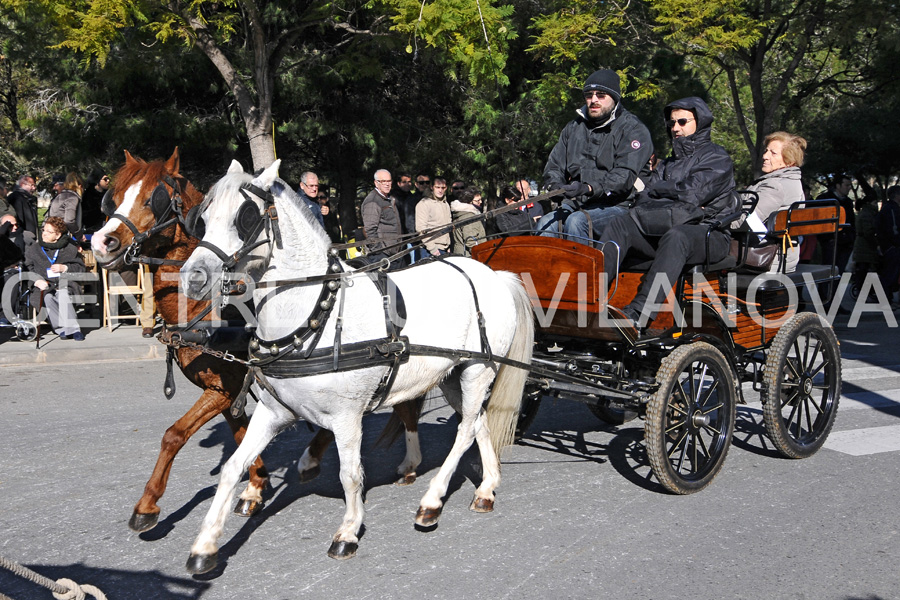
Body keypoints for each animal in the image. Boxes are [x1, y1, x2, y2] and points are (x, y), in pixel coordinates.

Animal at [93, 149, 424, 528]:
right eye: (113, 198)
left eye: (153, 198)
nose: (101, 243)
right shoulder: (230, 389)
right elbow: (240, 435)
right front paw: (255, 486)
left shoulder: (224, 388)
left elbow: (174, 434)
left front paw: (147, 505)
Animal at [181, 159, 536, 572]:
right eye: (203, 218)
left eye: (246, 217)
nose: (193, 276)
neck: (316, 315)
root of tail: (494, 275)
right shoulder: (273, 412)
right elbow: (233, 467)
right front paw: (205, 544)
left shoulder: (347, 417)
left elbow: (350, 474)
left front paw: (348, 531)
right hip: (452, 375)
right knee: (476, 421)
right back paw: (486, 488)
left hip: (479, 371)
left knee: (464, 431)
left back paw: (431, 501)